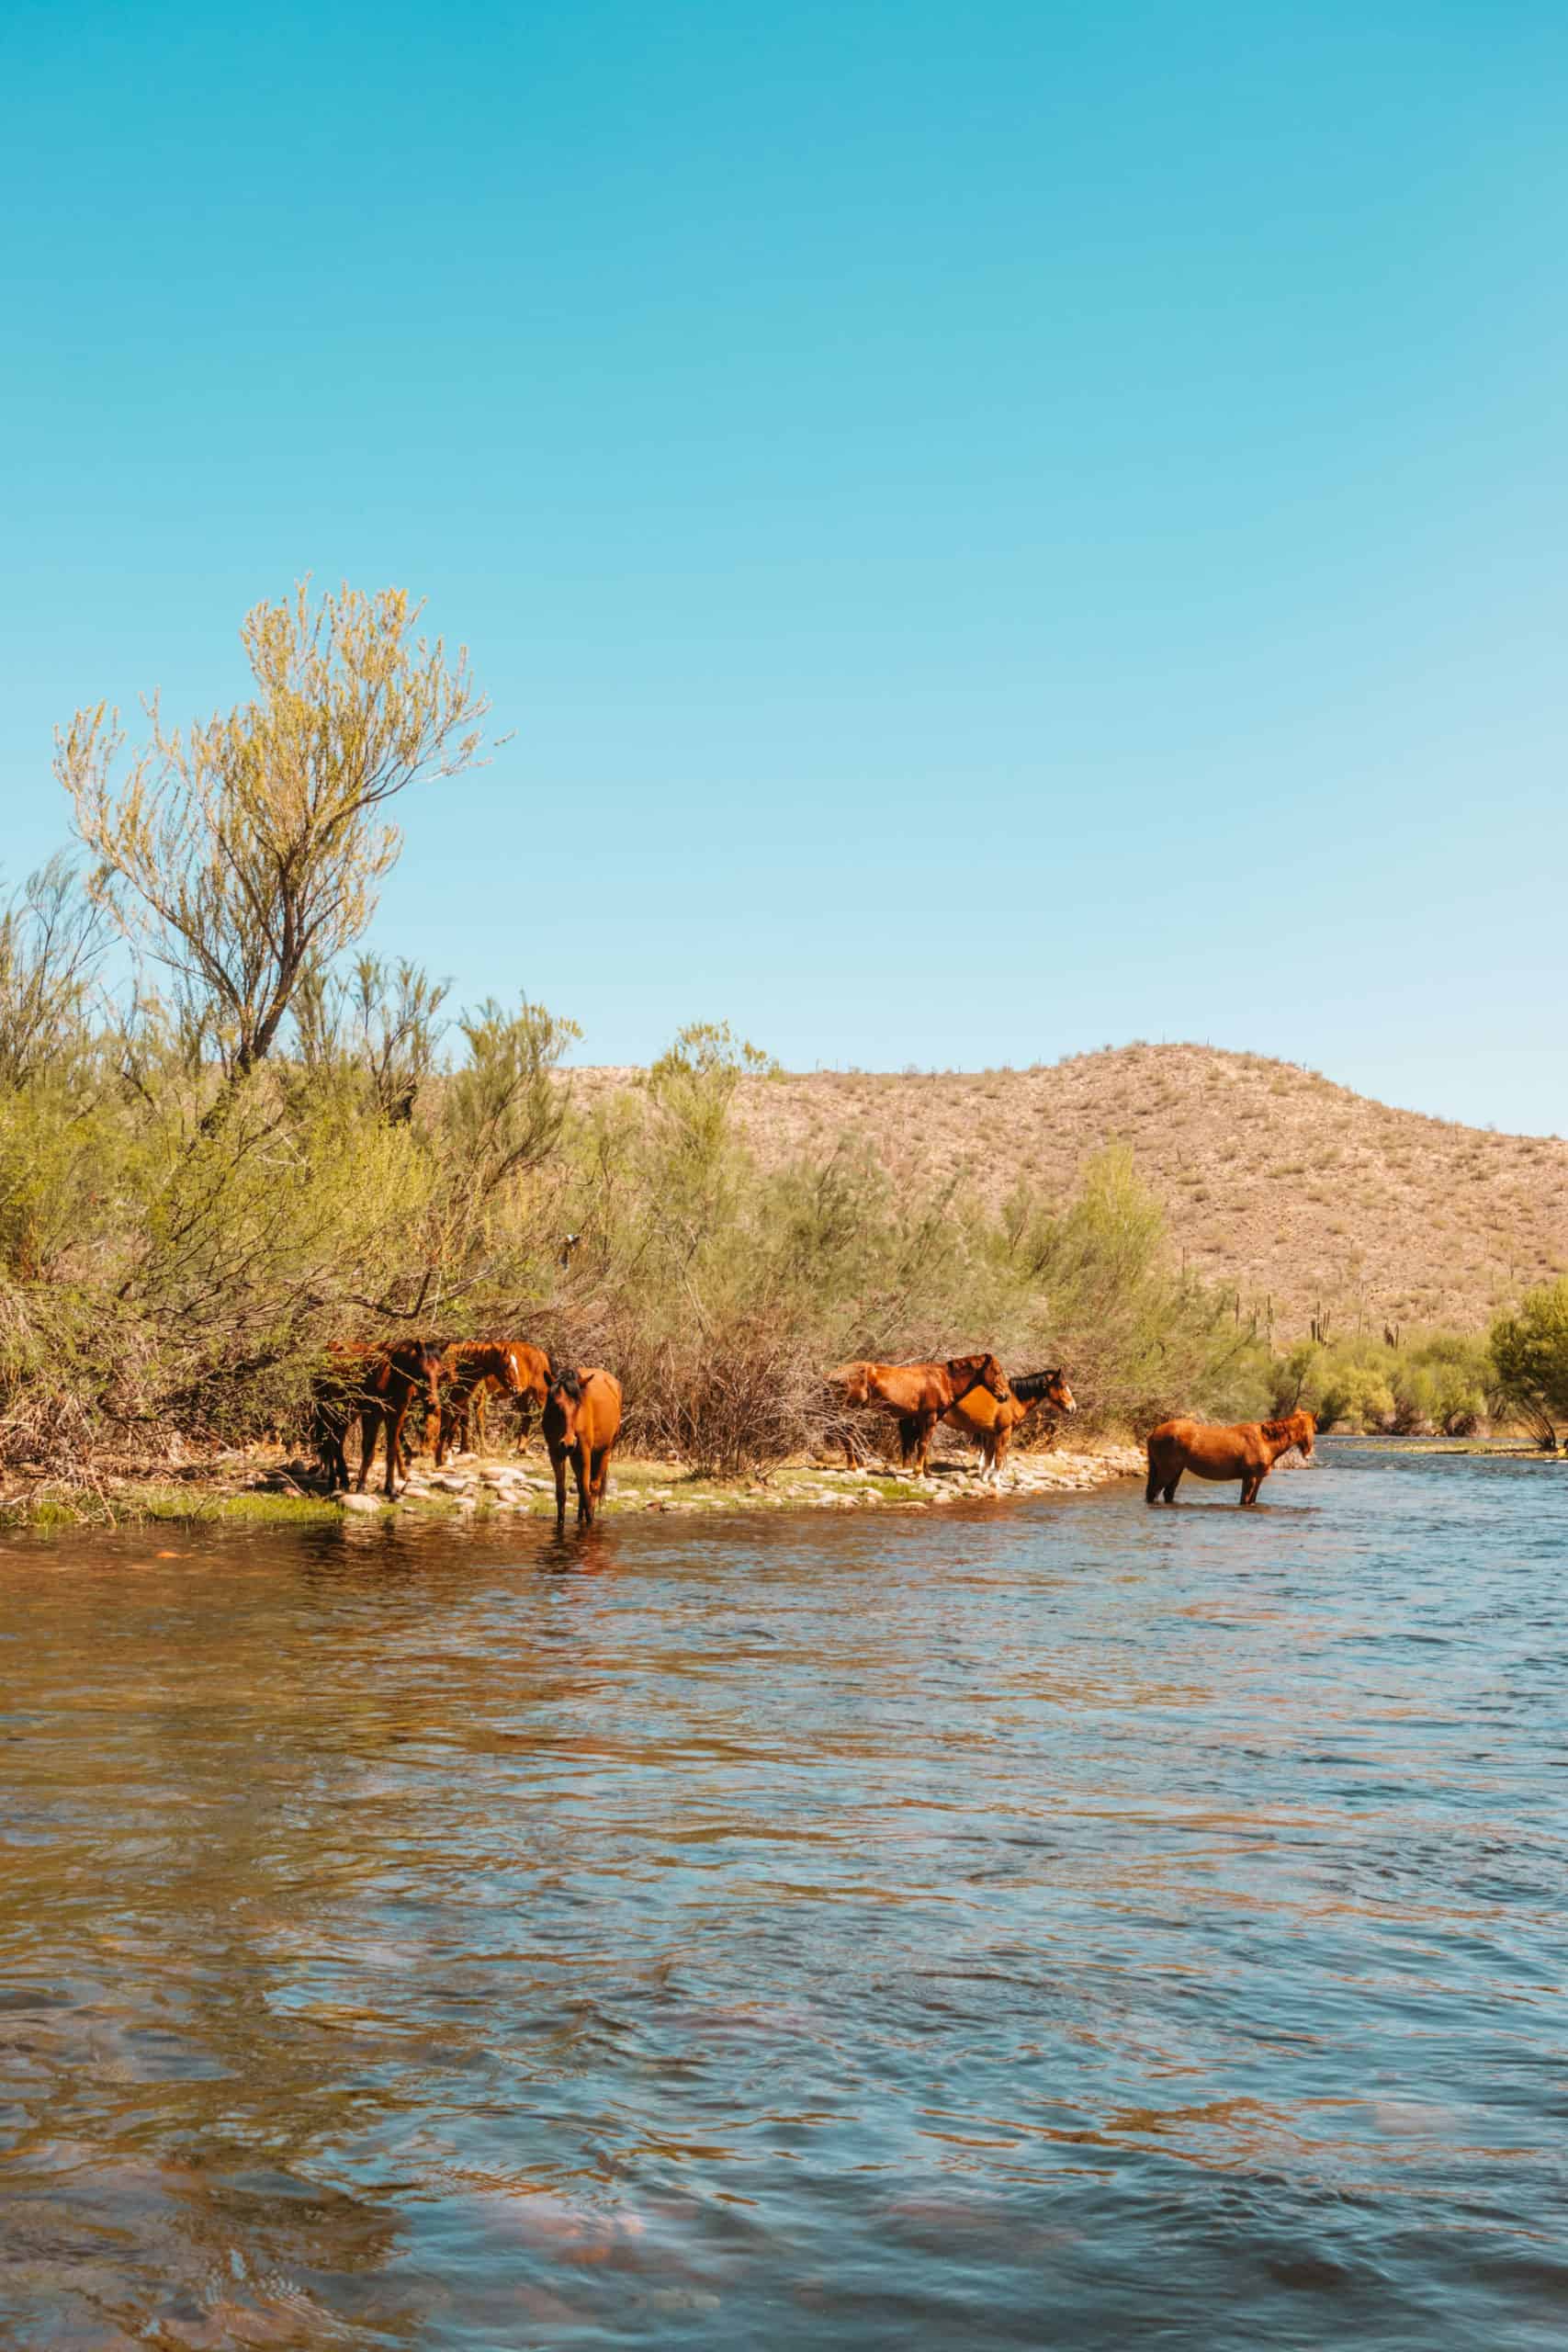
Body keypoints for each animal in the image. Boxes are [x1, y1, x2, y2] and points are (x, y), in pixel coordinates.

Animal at [543, 1374, 620, 1533]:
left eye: (578, 1406)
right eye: (555, 1405)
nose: (568, 1443)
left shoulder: (584, 1452)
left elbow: (586, 1491)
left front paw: (590, 1523)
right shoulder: (555, 1453)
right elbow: (561, 1493)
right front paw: (560, 1525)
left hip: (604, 1451)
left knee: (593, 1487)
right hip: (574, 1457)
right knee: (580, 1486)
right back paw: (579, 1519)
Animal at [831, 1354, 1020, 1476]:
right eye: (996, 1371)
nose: (1005, 1395)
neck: (943, 1379)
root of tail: (837, 1373)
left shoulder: (923, 1418)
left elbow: (923, 1443)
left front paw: (925, 1471)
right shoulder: (930, 1416)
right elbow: (922, 1444)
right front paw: (917, 1472)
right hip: (852, 1410)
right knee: (846, 1434)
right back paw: (854, 1466)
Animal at [921, 1374, 1081, 1476]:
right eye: (1061, 1385)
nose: (1073, 1407)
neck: (1013, 1398)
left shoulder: (991, 1433)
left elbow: (989, 1457)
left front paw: (985, 1477)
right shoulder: (1004, 1431)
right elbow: (998, 1456)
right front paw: (996, 1480)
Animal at [1146, 1401, 1316, 1514]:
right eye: (1315, 1428)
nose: (1309, 1453)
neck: (1265, 1441)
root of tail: (1154, 1431)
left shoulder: (1258, 1479)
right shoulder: (1250, 1478)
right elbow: (1244, 1501)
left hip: (1177, 1471)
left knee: (1168, 1493)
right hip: (1167, 1471)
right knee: (1154, 1493)